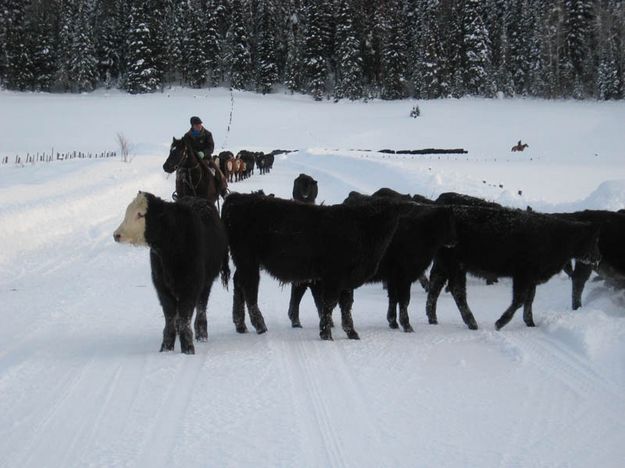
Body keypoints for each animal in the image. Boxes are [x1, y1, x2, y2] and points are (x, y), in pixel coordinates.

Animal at [113, 192, 228, 352]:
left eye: (140, 214)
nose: (116, 235)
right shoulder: (161, 285)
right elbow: (170, 317)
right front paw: (166, 348)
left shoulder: (190, 286)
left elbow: (185, 317)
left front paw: (188, 348)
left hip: (206, 283)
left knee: (201, 307)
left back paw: (201, 335)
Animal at [222, 192, 408, 338]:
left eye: (392, 214)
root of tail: (237, 197)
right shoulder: (334, 277)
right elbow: (329, 303)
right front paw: (326, 333)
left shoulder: (347, 281)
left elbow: (346, 306)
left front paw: (351, 333)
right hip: (248, 261)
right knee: (249, 290)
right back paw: (260, 326)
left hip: (244, 263)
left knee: (239, 285)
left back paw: (240, 325)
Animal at [424, 207, 600, 330]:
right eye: (593, 240)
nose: (598, 259)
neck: (557, 236)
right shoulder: (522, 276)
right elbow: (520, 299)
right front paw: (499, 323)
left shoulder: (531, 279)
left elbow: (529, 299)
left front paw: (530, 323)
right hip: (456, 266)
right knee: (457, 291)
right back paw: (472, 323)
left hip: (444, 266)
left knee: (435, 287)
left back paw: (433, 319)